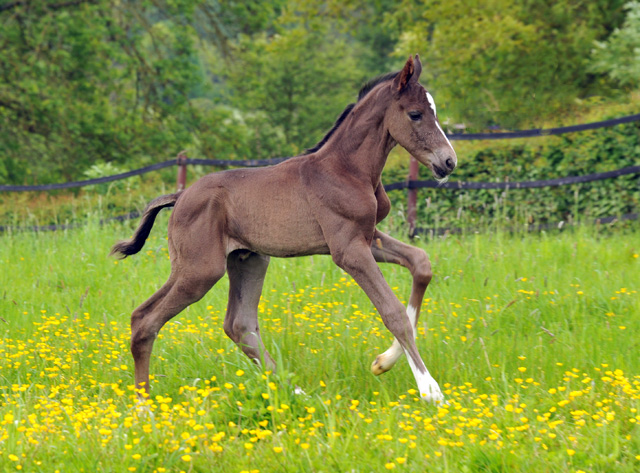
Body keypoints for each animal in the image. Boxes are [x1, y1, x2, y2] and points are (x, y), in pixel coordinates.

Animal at [112, 55, 458, 402]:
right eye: (415, 114)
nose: (449, 162)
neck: (347, 169)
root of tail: (180, 197)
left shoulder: (367, 236)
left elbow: (421, 264)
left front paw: (383, 362)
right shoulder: (348, 249)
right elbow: (393, 312)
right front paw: (430, 391)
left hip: (246, 259)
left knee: (238, 325)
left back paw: (299, 393)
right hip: (200, 270)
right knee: (145, 320)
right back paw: (144, 406)